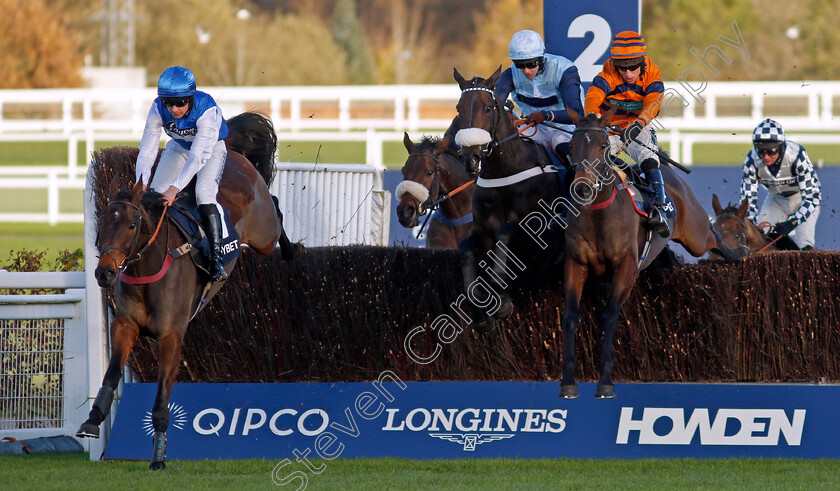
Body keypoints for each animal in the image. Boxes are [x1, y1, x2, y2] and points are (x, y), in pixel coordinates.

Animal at [77, 112, 292, 472]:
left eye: (132, 225)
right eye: (104, 222)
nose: (104, 272)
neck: (148, 270)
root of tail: (235, 153)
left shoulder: (171, 336)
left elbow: (162, 399)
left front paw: (159, 457)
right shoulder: (125, 325)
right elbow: (111, 375)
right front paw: (92, 421)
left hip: (262, 233)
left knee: (275, 208)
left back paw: (290, 251)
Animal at [452, 67, 564, 332]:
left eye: (488, 108)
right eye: (459, 108)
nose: (470, 158)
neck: (504, 172)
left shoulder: (541, 241)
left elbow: (505, 231)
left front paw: (501, 301)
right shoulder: (481, 229)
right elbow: (465, 248)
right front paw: (481, 313)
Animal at [560, 108, 740, 400]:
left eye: (602, 146)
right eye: (572, 146)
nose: (583, 188)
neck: (599, 215)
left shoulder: (627, 267)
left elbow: (610, 315)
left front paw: (605, 382)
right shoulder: (576, 264)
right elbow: (570, 316)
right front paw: (567, 382)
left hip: (695, 234)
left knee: (713, 235)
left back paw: (739, 251)